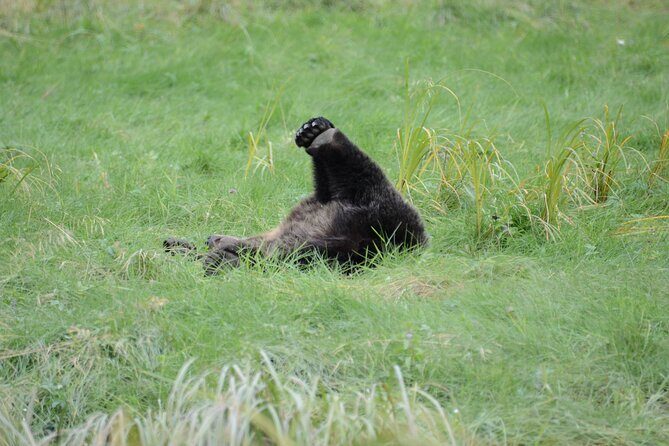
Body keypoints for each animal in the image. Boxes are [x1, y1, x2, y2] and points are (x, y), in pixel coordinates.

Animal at [164, 117, 428, 274]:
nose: (211, 237)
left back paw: (323, 134)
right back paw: (314, 132)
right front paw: (180, 245)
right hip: (341, 205)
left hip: (382, 216)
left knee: (361, 173)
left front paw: (216, 256)